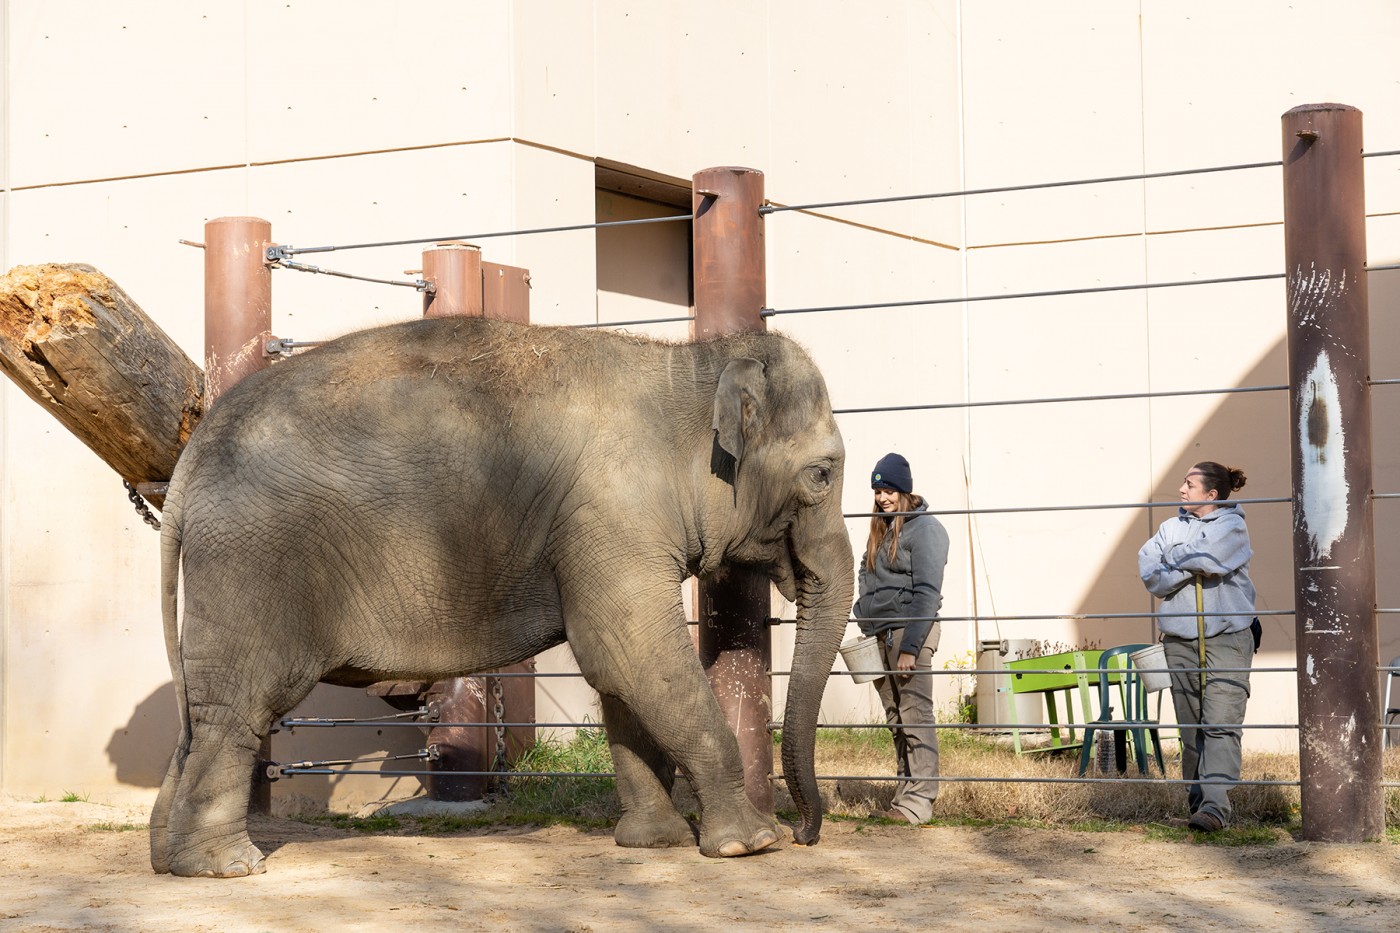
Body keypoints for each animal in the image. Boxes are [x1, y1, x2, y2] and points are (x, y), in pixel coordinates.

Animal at [150, 316, 851, 874]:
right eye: (822, 475)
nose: (805, 832)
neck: (691, 363)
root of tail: (190, 463)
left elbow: (621, 673)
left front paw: (655, 843)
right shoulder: (611, 515)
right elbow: (633, 654)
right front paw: (749, 845)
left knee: (195, 714)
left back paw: (168, 857)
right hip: (251, 564)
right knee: (238, 708)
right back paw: (228, 867)